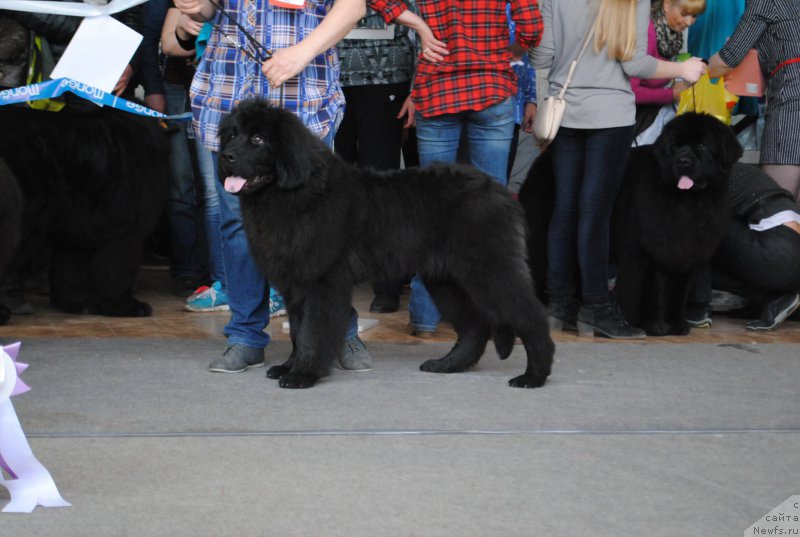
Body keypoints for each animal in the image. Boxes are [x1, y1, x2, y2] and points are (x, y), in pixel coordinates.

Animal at [0, 106, 169, 316]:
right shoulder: (128, 232)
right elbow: (118, 269)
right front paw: (124, 305)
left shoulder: (77, 230)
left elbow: (71, 270)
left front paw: (75, 302)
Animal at [219, 97, 556, 390]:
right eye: (232, 135)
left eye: (258, 139)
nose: (225, 157)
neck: (295, 192)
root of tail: (499, 192)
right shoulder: (296, 285)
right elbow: (298, 332)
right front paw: (289, 366)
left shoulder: (321, 282)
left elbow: (312, 332)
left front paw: (303, 374)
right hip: (445, 280)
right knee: (475, 329)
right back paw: (446, 365)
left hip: (490, 271)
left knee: (532, 318)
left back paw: (533, 376)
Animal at [520, 113, 744, 336]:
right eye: (675, 145)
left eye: (701, 146)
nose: (683, 161)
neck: (689, 203)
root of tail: (542, 161)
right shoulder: (652, 249)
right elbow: (654, 289)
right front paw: (655, 325)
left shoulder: (687, 252)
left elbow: (678, 293)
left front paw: (677, 325)